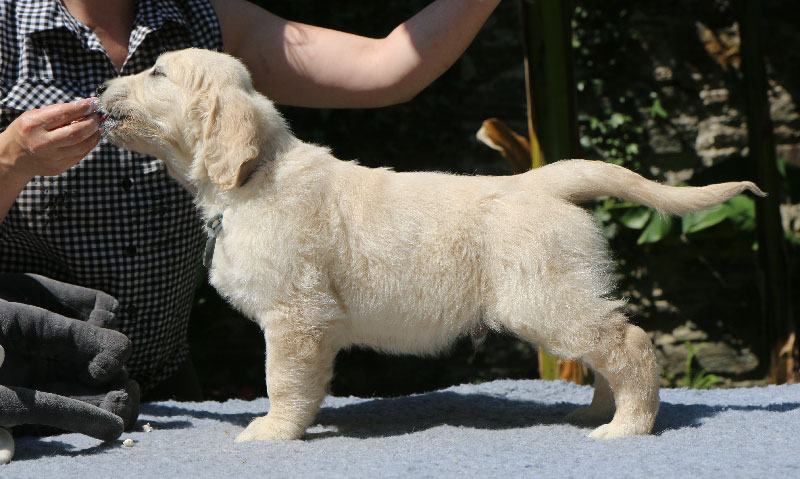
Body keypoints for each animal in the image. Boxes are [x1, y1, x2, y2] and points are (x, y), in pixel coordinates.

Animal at [99, 48, 764, 441]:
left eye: (156, 73)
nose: (101, 88)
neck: (254, 174)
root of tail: (540, 179)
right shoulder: (307, 321)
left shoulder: (296, 316)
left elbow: (283, 380)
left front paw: (271, 432)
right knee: (609, 347)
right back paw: (598, 412)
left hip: (544, 296)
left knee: (629, 343)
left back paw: (627, 426)